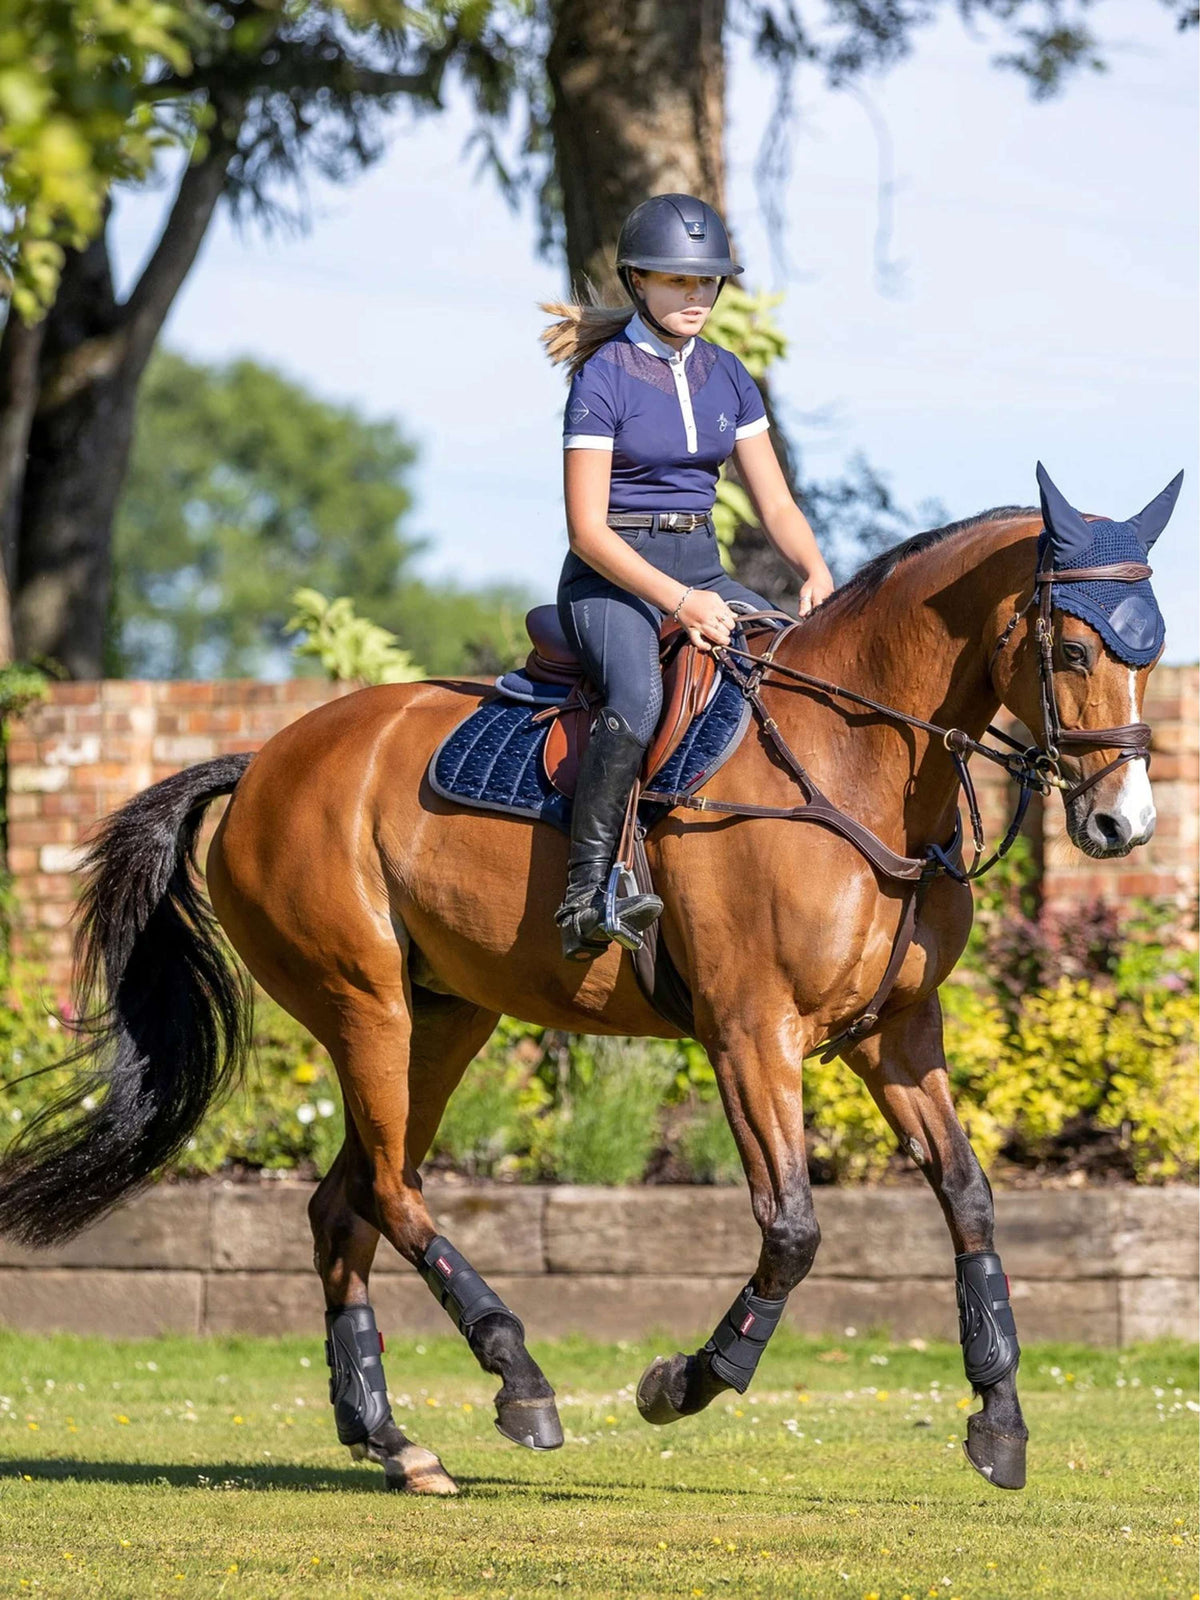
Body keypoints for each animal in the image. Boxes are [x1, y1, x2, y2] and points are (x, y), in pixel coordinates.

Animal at [0, 476, 1177, 1497]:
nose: (1121, 824)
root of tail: (261, 764)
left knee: (349, 1204)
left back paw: (391, 1440)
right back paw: (517, 1378)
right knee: (390, 1193)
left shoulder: (898, 1032)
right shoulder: (751, 1031)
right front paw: (684, 1382)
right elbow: (792, 1226)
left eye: (1150, 653)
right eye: (1073, 647)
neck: (855, 769)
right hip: (363, 1003)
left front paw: (998, 1420)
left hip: (446, 1018)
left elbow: (969, 1199)